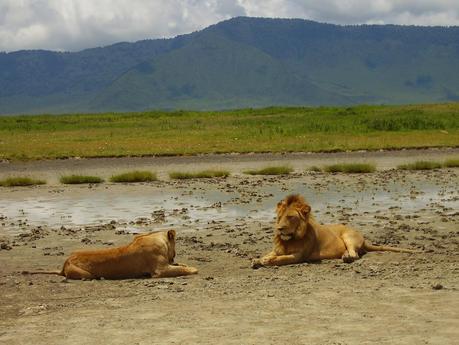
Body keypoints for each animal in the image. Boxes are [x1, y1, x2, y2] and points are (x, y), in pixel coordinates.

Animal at [22, 228, 198, 280]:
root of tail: (64, 263)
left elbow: (180, 265)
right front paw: (193, 269)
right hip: (85, 273)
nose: (174, 256)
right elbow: (181, 269)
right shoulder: (160, 270)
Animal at [253, 195, 418, 268]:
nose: (279, 228)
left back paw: (347, 257)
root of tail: (364, 239)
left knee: (355, 254)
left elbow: (282, 259)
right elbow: (270, 254)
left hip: (348, 236)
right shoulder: (278, 249)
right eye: (279, 217)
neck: (290, 239)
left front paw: (268, 261)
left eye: (290, 217)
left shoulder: (299, 256)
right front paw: (258, 259)